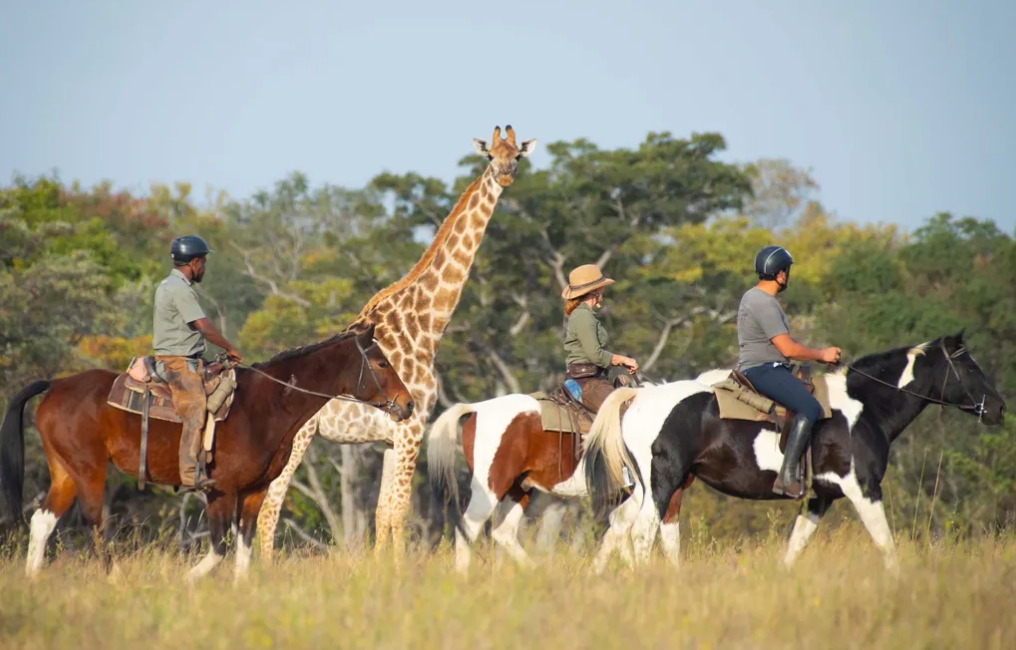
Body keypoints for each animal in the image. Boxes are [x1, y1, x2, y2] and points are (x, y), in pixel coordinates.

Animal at [0, 322, 415, 581]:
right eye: (381, 362)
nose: (408, 404)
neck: (265, 405)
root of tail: (55, 385)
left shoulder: (253, 492)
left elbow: (243, 545)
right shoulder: (220, 491)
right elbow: (218, 548)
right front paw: (187, 581)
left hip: (65, 471)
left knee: (43, 520)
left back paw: (33, 579)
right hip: (89, 470)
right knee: (94, 523)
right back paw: (114, 578)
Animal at [583, 330, 1006, 573]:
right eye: (969, 367)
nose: (999, 409)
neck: (864, 408)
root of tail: (640, 395)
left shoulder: (821, 497)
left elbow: (796, 546)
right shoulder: (864, 489)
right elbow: (886, 543)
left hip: (651, 485)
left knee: (621, 524)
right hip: (664, 482)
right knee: (641, 531)